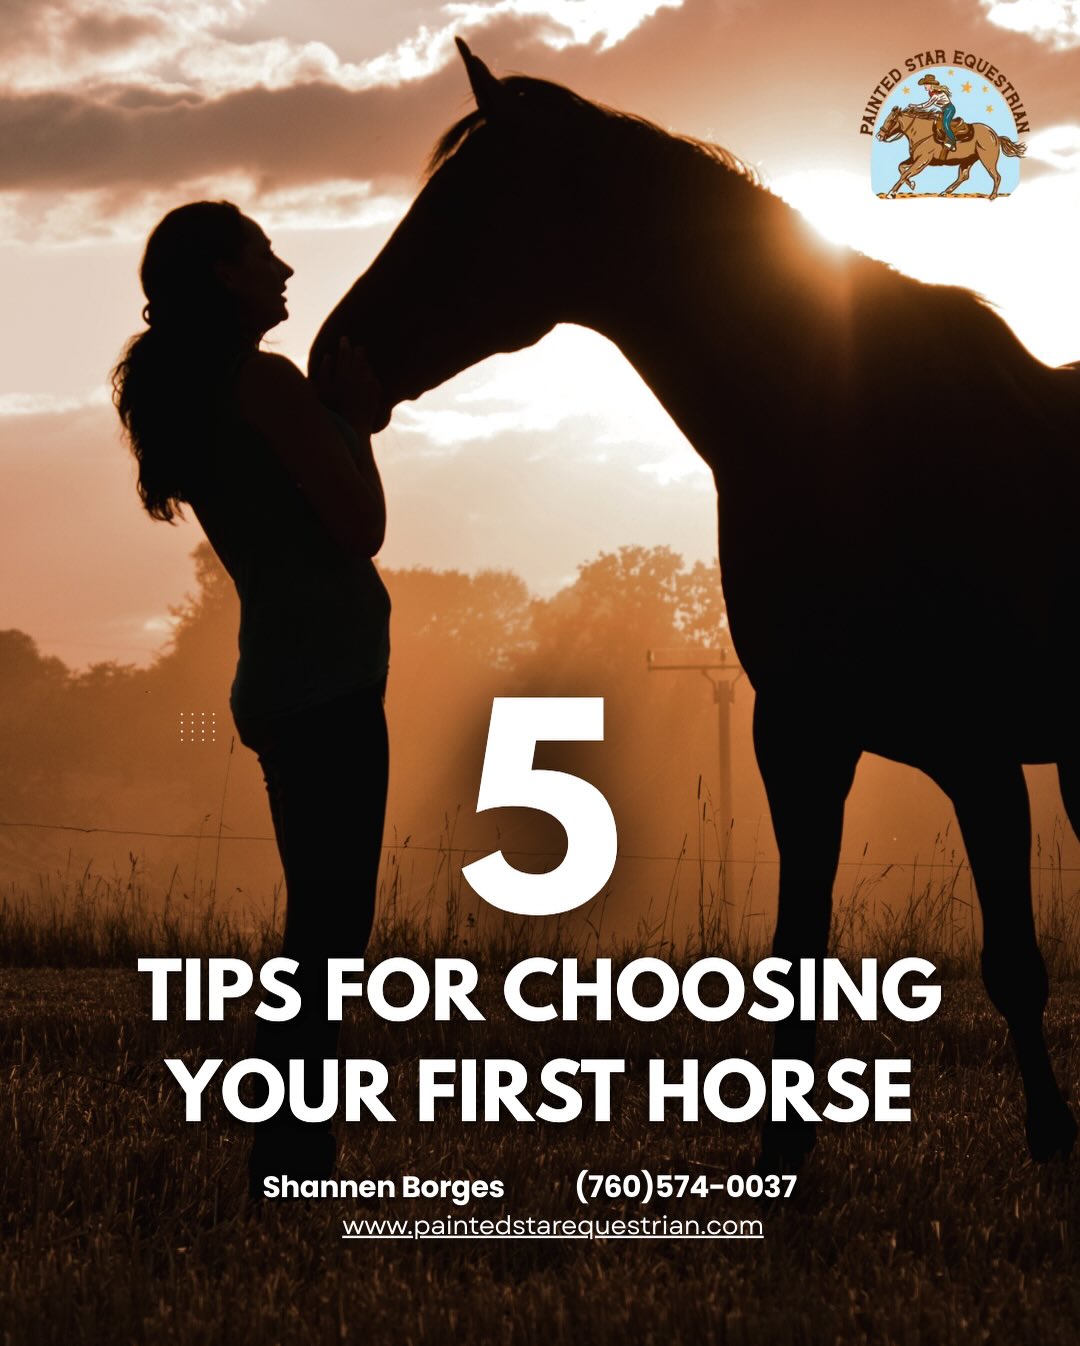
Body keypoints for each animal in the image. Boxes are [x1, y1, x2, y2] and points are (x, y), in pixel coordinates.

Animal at [876, 105, 1026, 198]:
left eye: (891, 120)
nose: (879, 136)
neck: (922, 133)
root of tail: (995, 135)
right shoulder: (914, 158)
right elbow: (901, 168)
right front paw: (911, 184)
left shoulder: (923, 161)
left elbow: (905, 173)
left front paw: (891, 193)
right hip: (968, 160)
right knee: (963, 176)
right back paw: (944, 191)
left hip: (987, 159)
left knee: (996, 176)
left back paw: (992, 196)